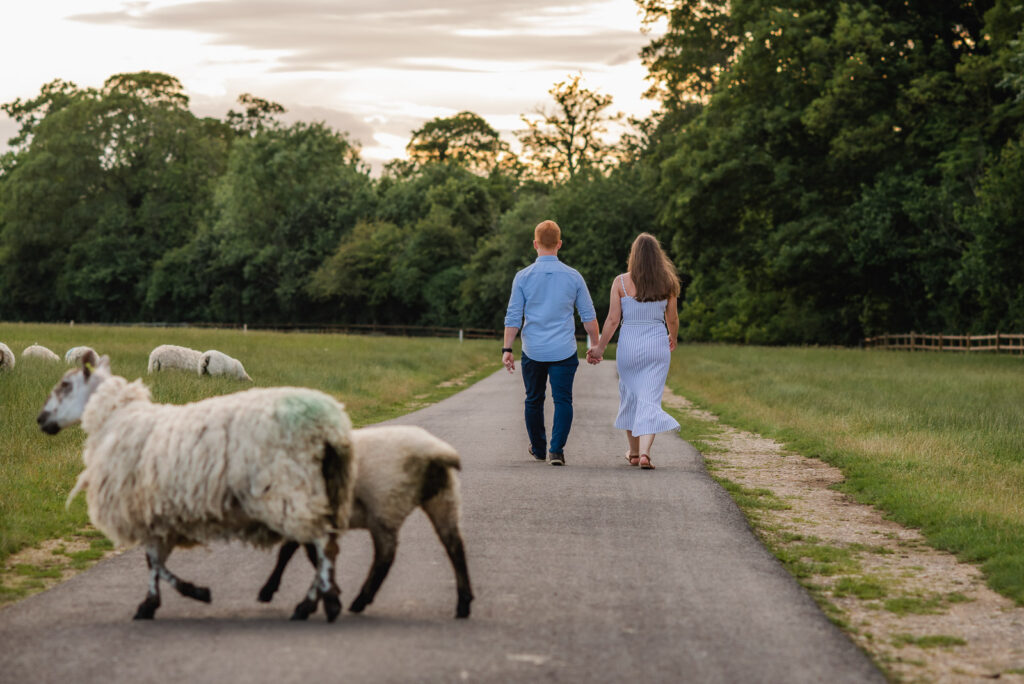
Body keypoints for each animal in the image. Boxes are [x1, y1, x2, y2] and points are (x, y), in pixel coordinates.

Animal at [37, 350, 356, 622]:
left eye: (65, 384)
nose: (41, 419)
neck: (120, 420)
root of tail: (330, 423)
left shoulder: (143, 506)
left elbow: (153, 562)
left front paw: (171, 598)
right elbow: (156, 560)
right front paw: (170, 597)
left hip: (290, 489)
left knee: (318, 544)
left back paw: (313, 602)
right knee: (318, 546)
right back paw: (320, 598)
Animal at [256, 423, 471, 618]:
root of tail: (434, 451)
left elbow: (291, 553)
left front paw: (269, 590)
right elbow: (295, 552)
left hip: (384, 506)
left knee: (385, 556)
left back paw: (357, 600)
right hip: (444, 499)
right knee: (455, 548)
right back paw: (463, 604)